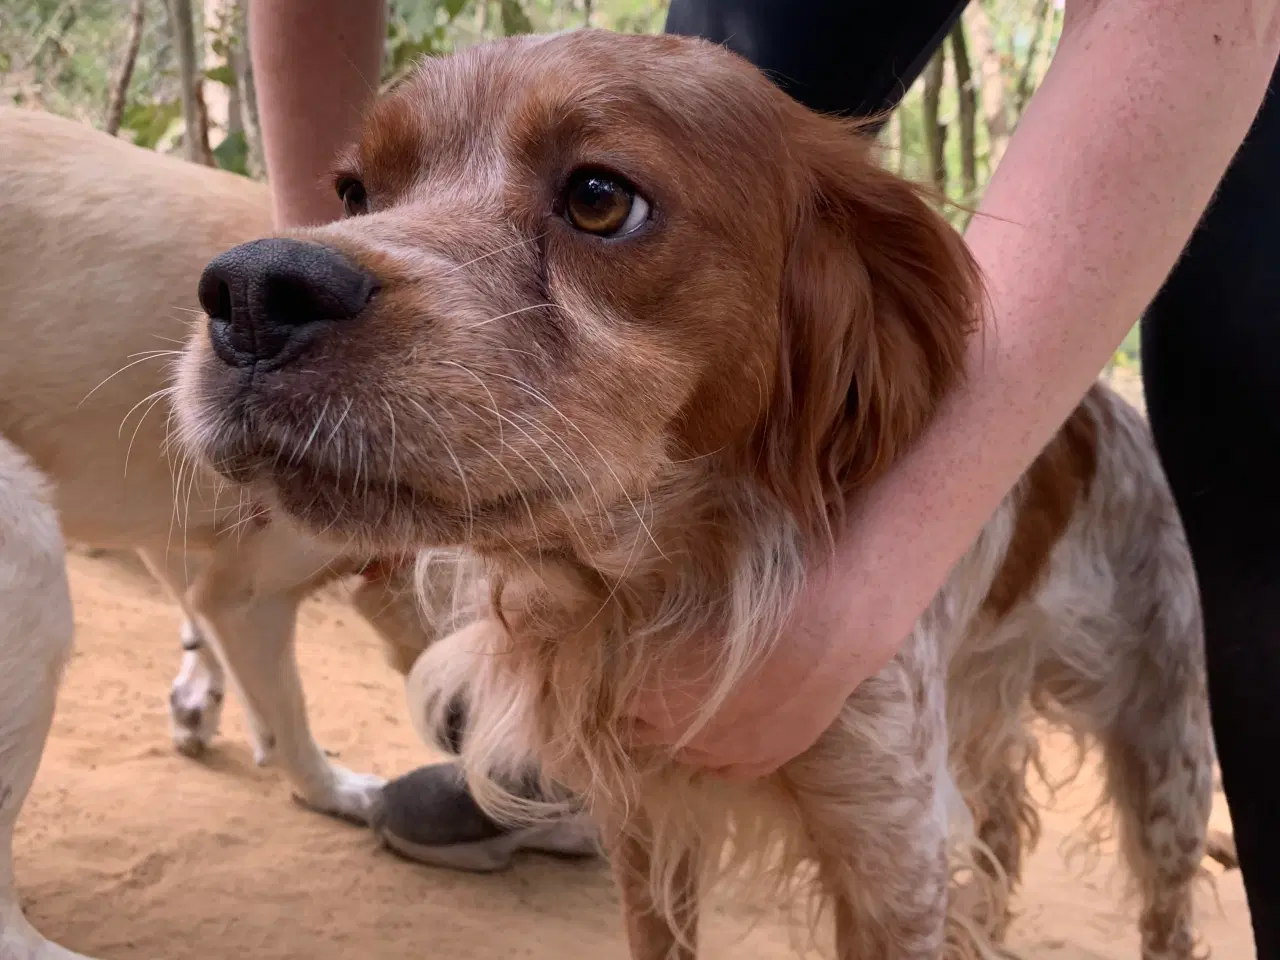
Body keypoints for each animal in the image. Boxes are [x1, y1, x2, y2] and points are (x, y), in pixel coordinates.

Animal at [170, 28, 1218, 960]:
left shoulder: (892, 850)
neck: (656, 586)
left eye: (600, 198)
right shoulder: (645, 822)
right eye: (355, 191)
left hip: (1165, 766)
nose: (252, 294)